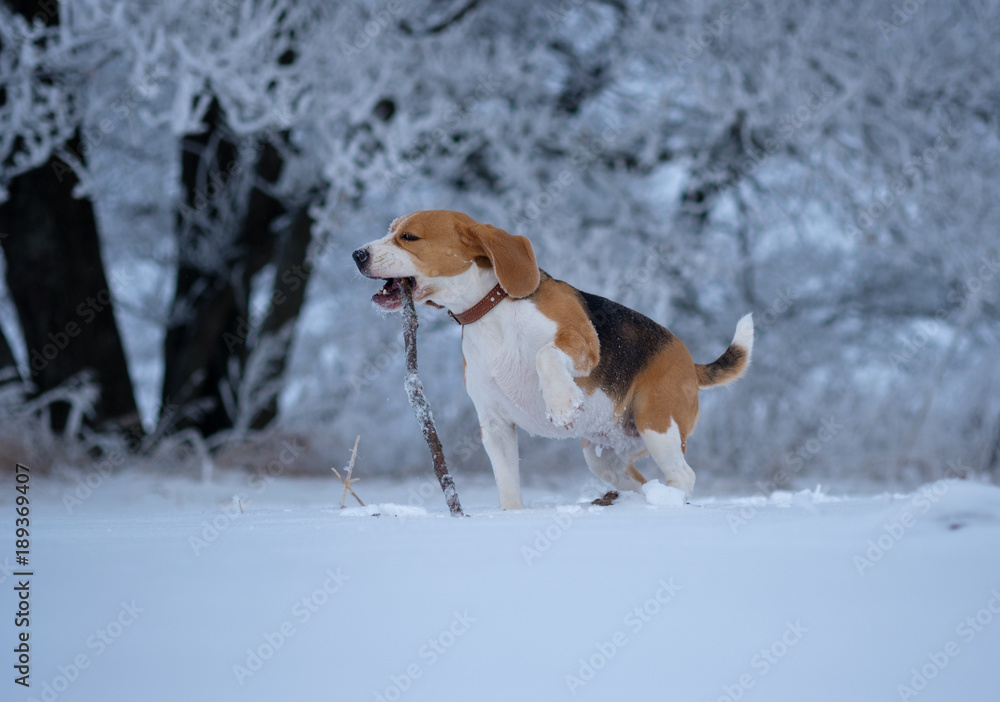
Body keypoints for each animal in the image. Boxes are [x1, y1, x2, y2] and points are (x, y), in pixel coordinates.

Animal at [352, 209, 752, 512]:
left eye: (409, 237)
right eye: (390, 230)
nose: (357, 254)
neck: (491, 310)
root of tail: (687, 358)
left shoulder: (582, 343)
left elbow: (545, 354)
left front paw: (561, 403)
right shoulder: (495, 424)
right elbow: (507, 484)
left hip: (658, 425)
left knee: (683, 475)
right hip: (604, 456)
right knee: (640, 482)